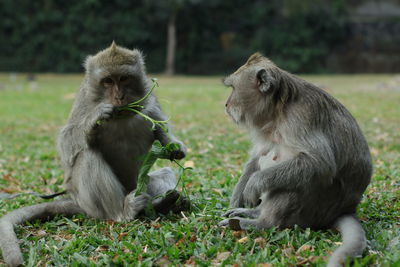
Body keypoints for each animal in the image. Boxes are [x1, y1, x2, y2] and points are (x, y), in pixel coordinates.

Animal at [0, 41, 188, 266]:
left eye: (123, 78)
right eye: (107, 81)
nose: (119, 97)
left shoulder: (150, 104)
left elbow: (161, 133)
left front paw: (173, 147)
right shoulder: (84, 102)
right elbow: (66, 142)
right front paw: (93, 121)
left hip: (140, 186)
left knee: (165, 173)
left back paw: (164, 204)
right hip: (93, 203)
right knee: (87, 158)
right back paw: (125, 212)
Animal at [219, 52, 372, 267]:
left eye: (233, 88)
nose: (226, 104)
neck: (278, 111)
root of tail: (346, 209)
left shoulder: (301, 117)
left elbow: (320, 164)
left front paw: (253, 184)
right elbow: (257, 156)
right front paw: (237, 198)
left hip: (316, 208)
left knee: (300, 181)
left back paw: (258, 223)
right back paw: (252, 213)